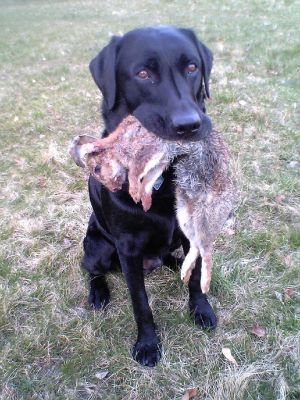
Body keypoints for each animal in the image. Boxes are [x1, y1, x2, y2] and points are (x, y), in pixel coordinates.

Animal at [82, 26, 218, 368]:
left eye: (192, 67)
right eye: (143, 73)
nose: (189, 125)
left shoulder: (193, 228)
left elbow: (195, 279)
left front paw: (201, 309)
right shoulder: (128, 248)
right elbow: (140, 303)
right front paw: (147, 344)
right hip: (98, 247)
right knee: (90, 269)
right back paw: (98, 293)